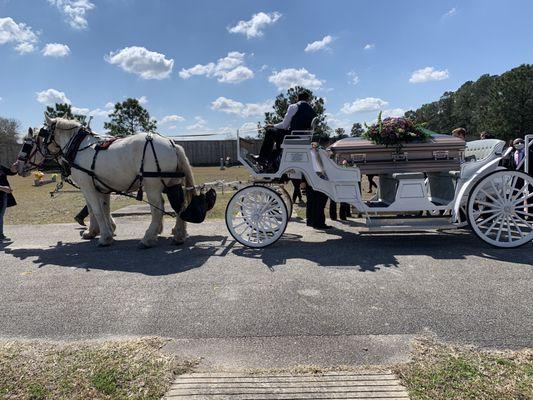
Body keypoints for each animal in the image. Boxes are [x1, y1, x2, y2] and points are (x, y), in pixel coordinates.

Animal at [16, 114, 195, 248]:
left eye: (28, 144)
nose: (16, 166)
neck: (77, 147)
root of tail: (172, 144)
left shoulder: (87, 186)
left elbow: (95, 209)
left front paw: (104, 237)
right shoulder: (101, 187)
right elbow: (103, 208)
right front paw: (99, 231)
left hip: (152, 185)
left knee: (158, 209)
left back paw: (148, 238)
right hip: (173, 183)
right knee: (179, 205)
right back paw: (179, 234)